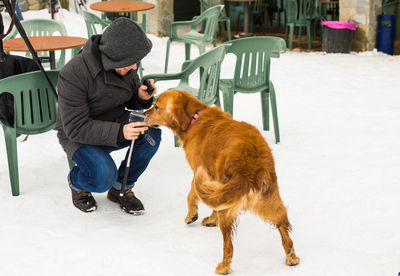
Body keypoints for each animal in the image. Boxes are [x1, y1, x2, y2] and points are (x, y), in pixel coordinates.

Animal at [145, 89, 298, 272]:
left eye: (156, 106)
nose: (144, 115)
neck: (194, 119)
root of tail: (251, 165)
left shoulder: (201, 173)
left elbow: (191, 195)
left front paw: (191, 216)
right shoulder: (214, 184)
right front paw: (210, 219)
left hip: (229, 205)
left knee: (228, 244)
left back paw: (224, 266)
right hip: (268, 199)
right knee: (282, 222)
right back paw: (292, 257)